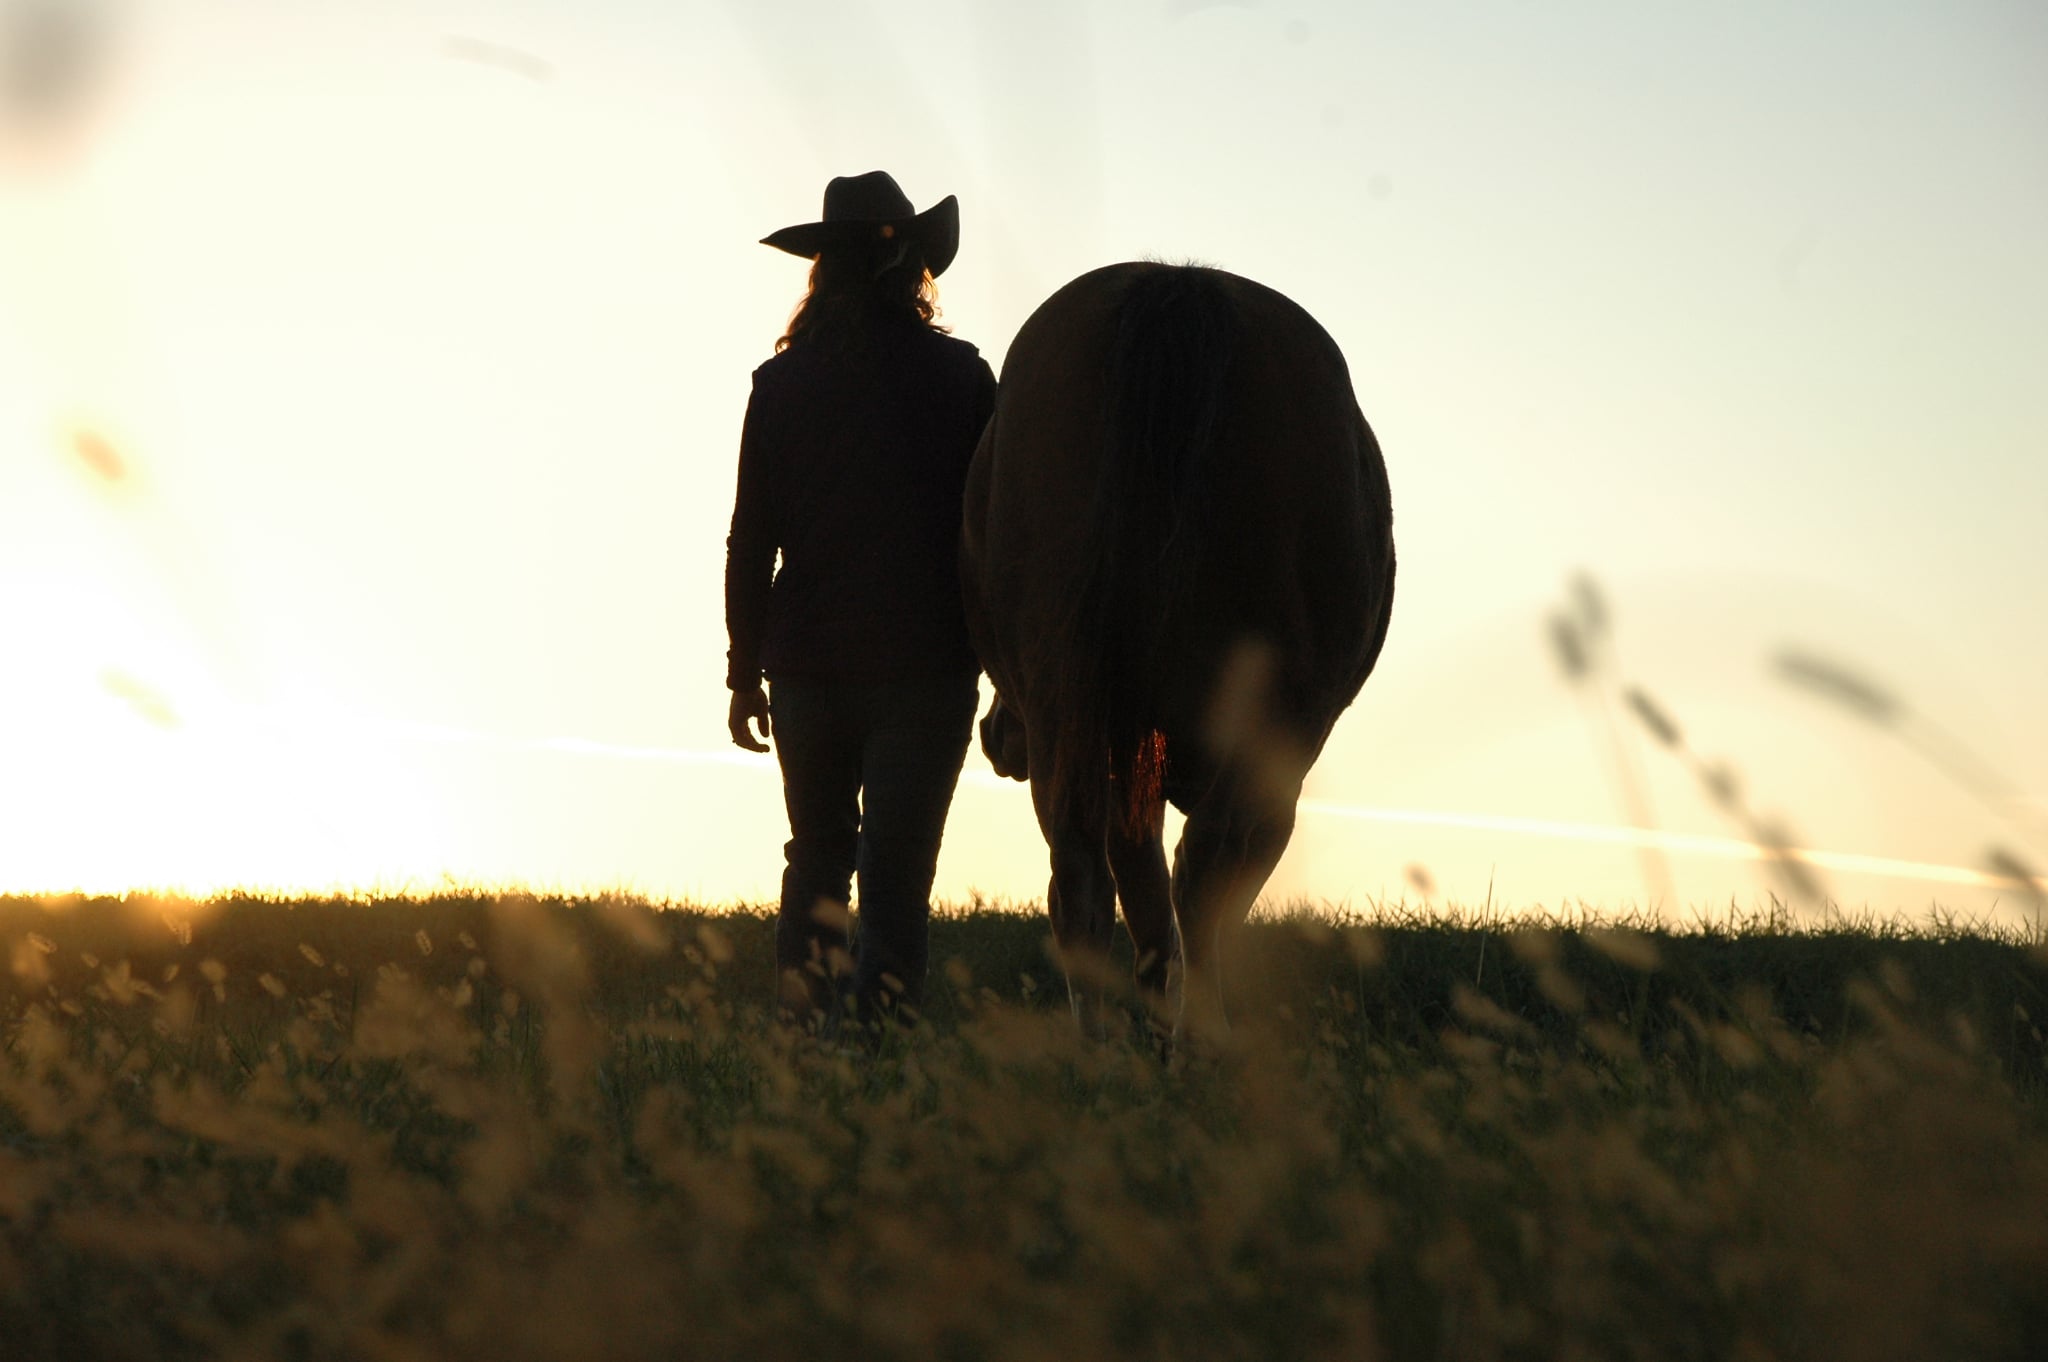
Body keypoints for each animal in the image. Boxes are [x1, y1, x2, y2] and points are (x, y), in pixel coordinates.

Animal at [960, 261, 1395, 1033]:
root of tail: (1176, 286)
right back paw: (1199, 1039)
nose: (997, 736)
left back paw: (1103, 1047)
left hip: (1068, 696)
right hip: (1265, 714)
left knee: (1082, 878)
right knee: (1198, 877)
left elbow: (1142, 890)